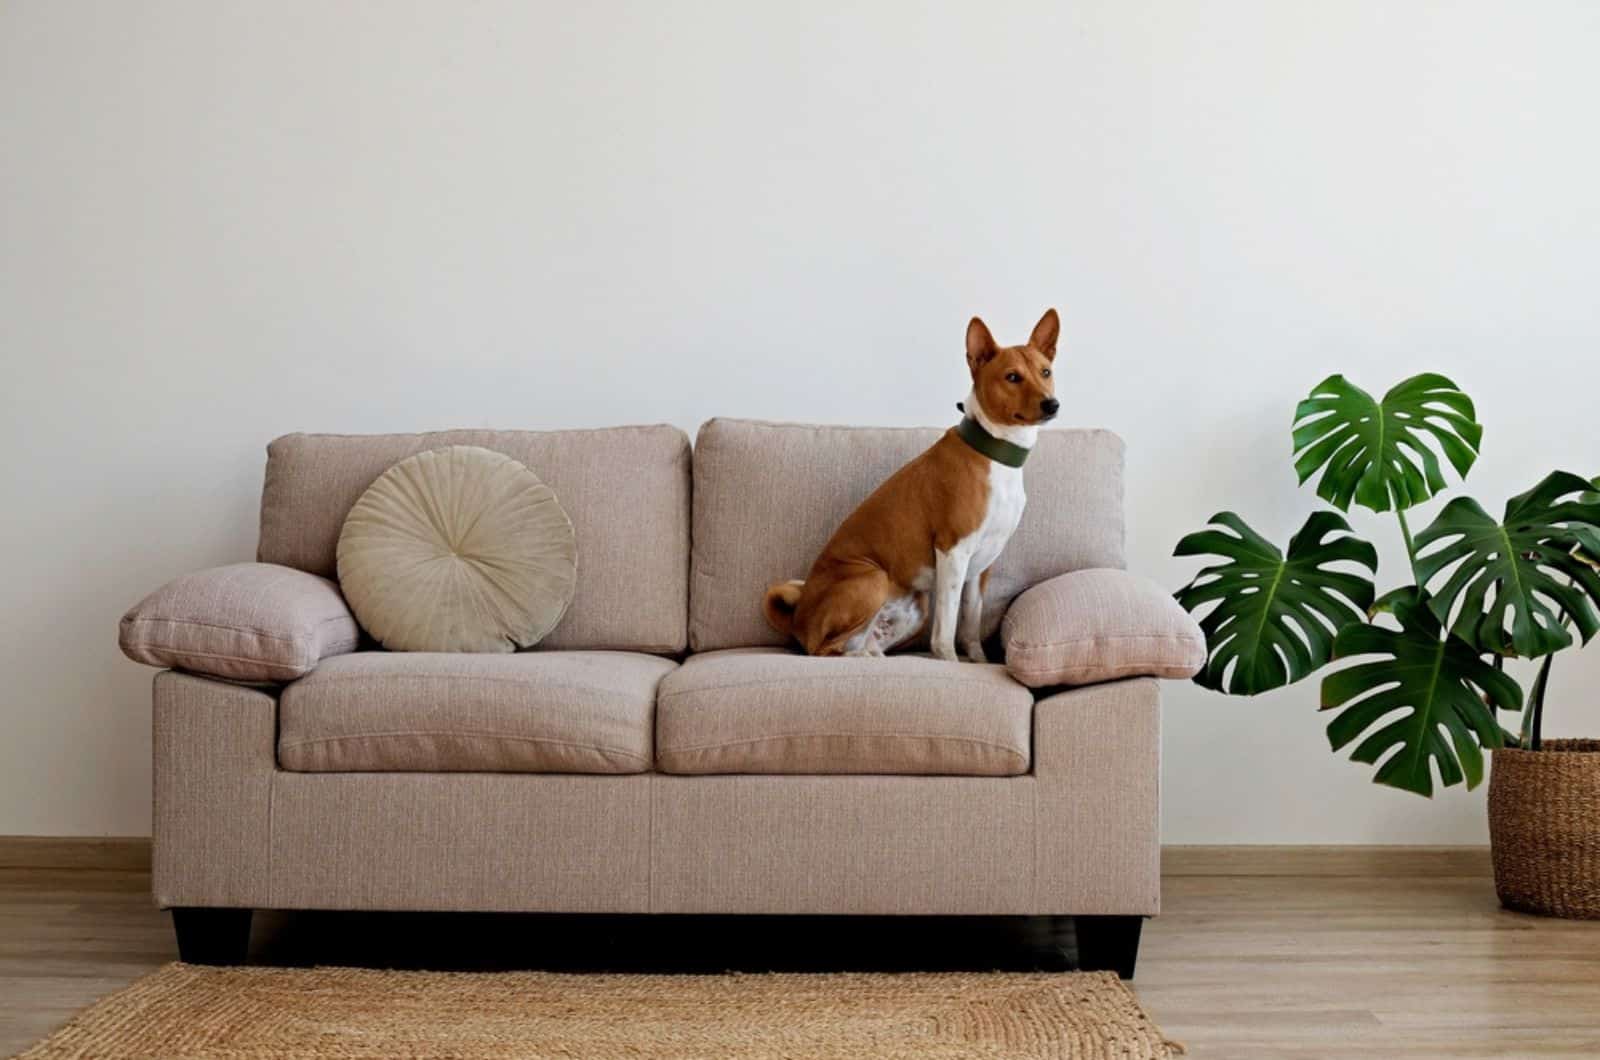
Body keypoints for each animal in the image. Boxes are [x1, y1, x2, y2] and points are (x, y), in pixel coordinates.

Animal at [761, 307, 1062, 659]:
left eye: (1045, 372)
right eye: (1012, 377)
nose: (1051, 404)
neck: (996, 454)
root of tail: (798, 617)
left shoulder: (981, 567)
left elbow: (970, 625)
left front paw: (978, 662)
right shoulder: (953, 552)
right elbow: (946, 630)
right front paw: (950, 662)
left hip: (914, 604)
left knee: (861, 644)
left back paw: (872, 655)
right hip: (873, 577)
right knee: (823, 649)